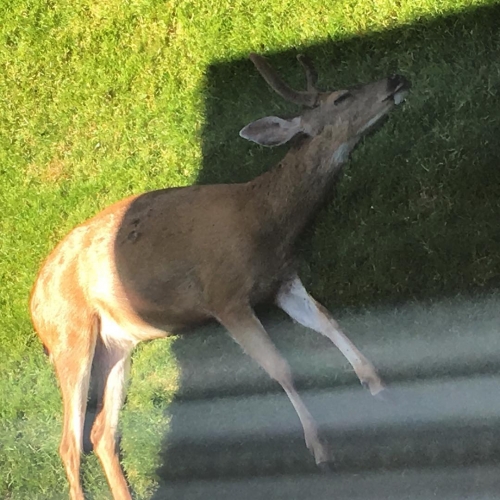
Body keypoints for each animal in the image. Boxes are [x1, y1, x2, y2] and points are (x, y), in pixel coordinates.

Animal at [29, 52, 408, 498]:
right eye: (341, 97)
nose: (397, 79)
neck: (264, 221)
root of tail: (33, 303)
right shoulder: (223, 295)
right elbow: (280, 367)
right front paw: (320, 449)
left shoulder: (281, 280)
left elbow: (328, 321)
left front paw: (379, 386)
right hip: (69, 333)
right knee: (69, 442)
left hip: (117, 343)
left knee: (102, 432)